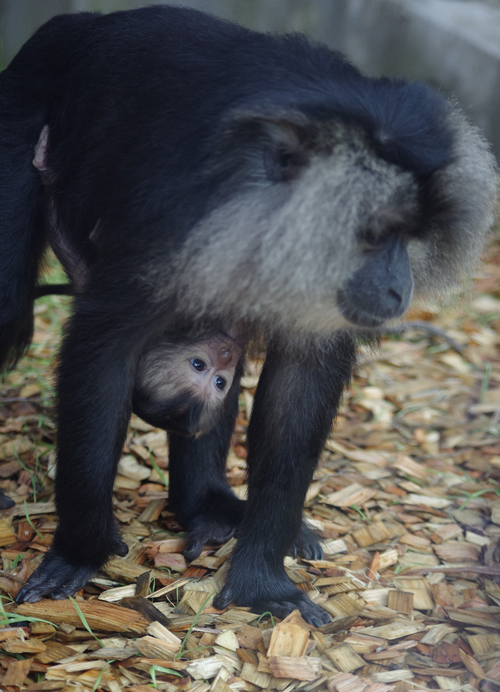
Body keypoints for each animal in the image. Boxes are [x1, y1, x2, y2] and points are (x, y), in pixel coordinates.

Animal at [0, 5, 494, 624]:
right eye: (376, 232)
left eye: (411, 235)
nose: (397, 289)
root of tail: (78, 25)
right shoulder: (176, 221)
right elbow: (104, 352)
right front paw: (81, 550)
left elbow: (299, 383)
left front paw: (262, 576)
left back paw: (207, 505)